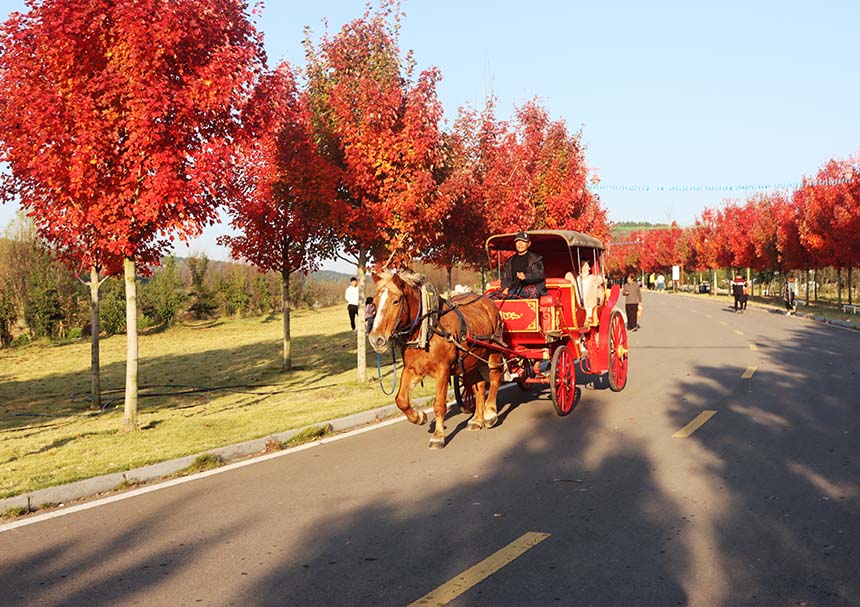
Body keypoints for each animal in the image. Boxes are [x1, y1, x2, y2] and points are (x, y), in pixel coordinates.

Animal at [368, 270, 504, 452]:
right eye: (374, 303)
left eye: (396, 301)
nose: (376, 339)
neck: (427, 329)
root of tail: (487, 301)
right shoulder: (412, 370)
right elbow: (401, 400)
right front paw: (418, 417)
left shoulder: (443, 370)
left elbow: (439, 404)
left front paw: (438, 436)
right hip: (470, 360)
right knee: (479, 386)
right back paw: (476, 419)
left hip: (494, 350)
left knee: (495, 378)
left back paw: (490, 413)